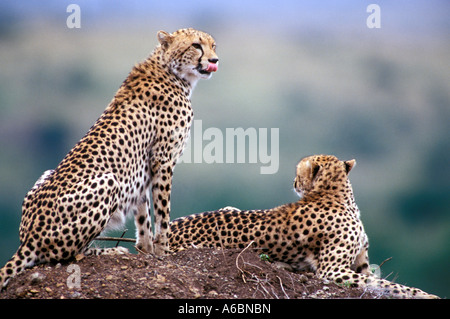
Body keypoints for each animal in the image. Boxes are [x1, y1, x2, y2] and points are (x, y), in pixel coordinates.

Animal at [0, 28, 218, 290]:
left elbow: (143, 214)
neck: (172, 71)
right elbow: (162, 213)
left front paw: (147, 251)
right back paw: (108, 252)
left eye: (214, 45)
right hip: (108, 181)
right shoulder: (163, 159)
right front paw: (164, 252)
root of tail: (27, 237)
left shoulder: (142, 169)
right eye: (196, 45)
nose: (214, 60)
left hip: (46, 175)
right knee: (68, 254)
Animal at [170, 156, 440, 300]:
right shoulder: (333, 271)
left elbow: (382, 282)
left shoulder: (360, 265)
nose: (293, 182)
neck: (333, 194)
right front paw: (426, 294)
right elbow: (386, 284)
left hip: (228, 207)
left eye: (298, 173)